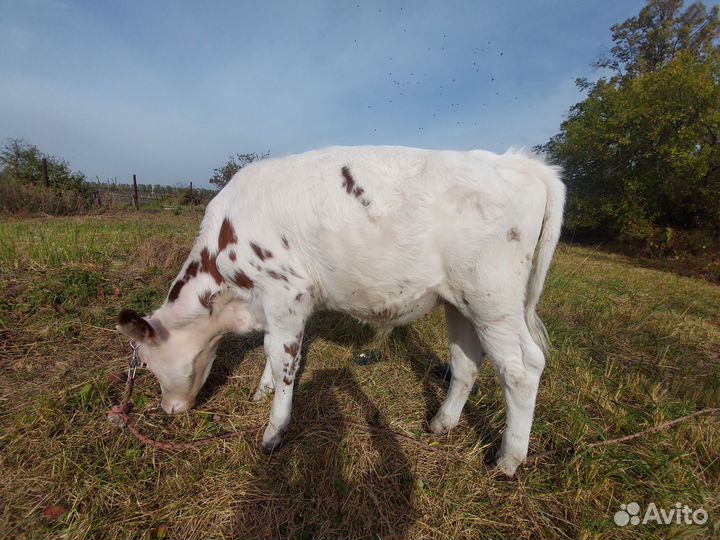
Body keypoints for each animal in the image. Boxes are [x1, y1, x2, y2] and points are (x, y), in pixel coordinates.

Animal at [118, 144, 564, 476]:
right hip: (461, 302)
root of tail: (517, 161)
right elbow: (270, 352)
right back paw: (441, 424)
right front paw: (260, 391)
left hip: (494, 298)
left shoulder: (287, 293)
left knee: (523, 369)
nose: (168, 410)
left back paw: (507, 461)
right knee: (466, 361)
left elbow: (282, 358)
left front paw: (273, 431)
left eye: (148, 364)